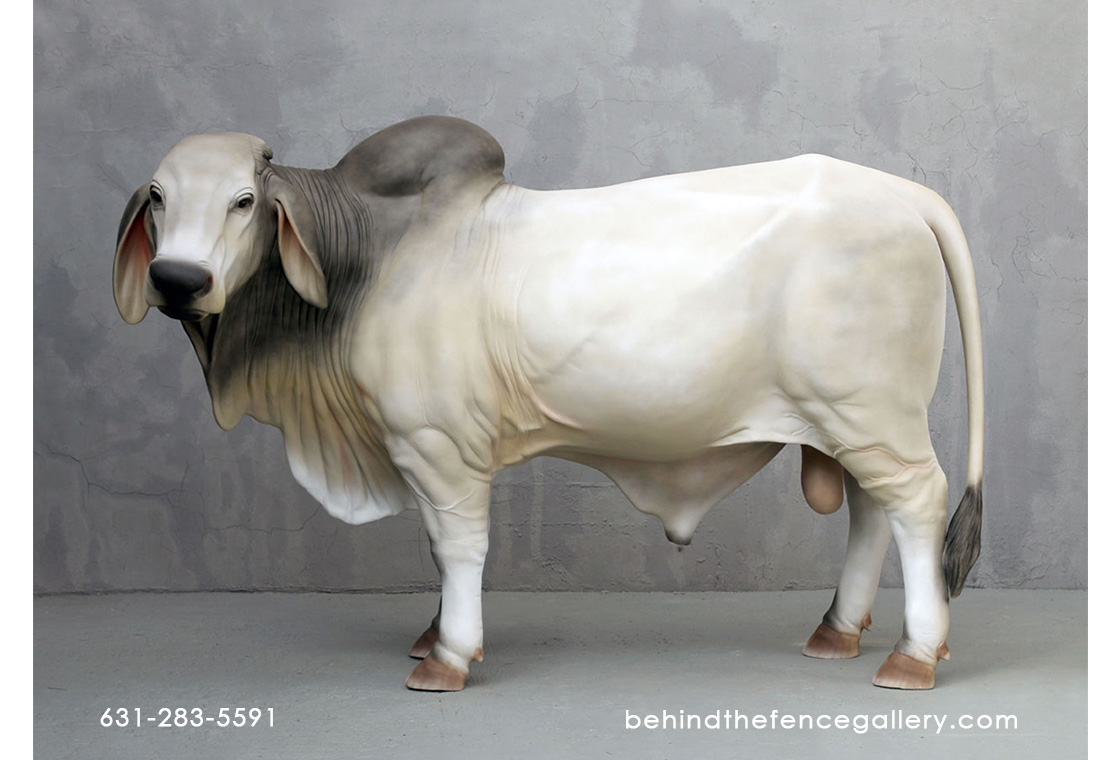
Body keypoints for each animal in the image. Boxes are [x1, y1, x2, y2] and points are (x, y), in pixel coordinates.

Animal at [113, 115, 984, 692]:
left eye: (243, 201)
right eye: (157, 195)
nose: (179, 279)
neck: (368, 260)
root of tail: (902, 193)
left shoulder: (437, 443)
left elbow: (457, 547)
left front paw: (449, 654)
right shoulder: (424, 450)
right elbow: (437, 548)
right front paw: (433, 633)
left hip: (870, 415)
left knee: (917, 504)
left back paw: (915, 654)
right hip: (852, 423)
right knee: (872, 513)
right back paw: (838, 633)